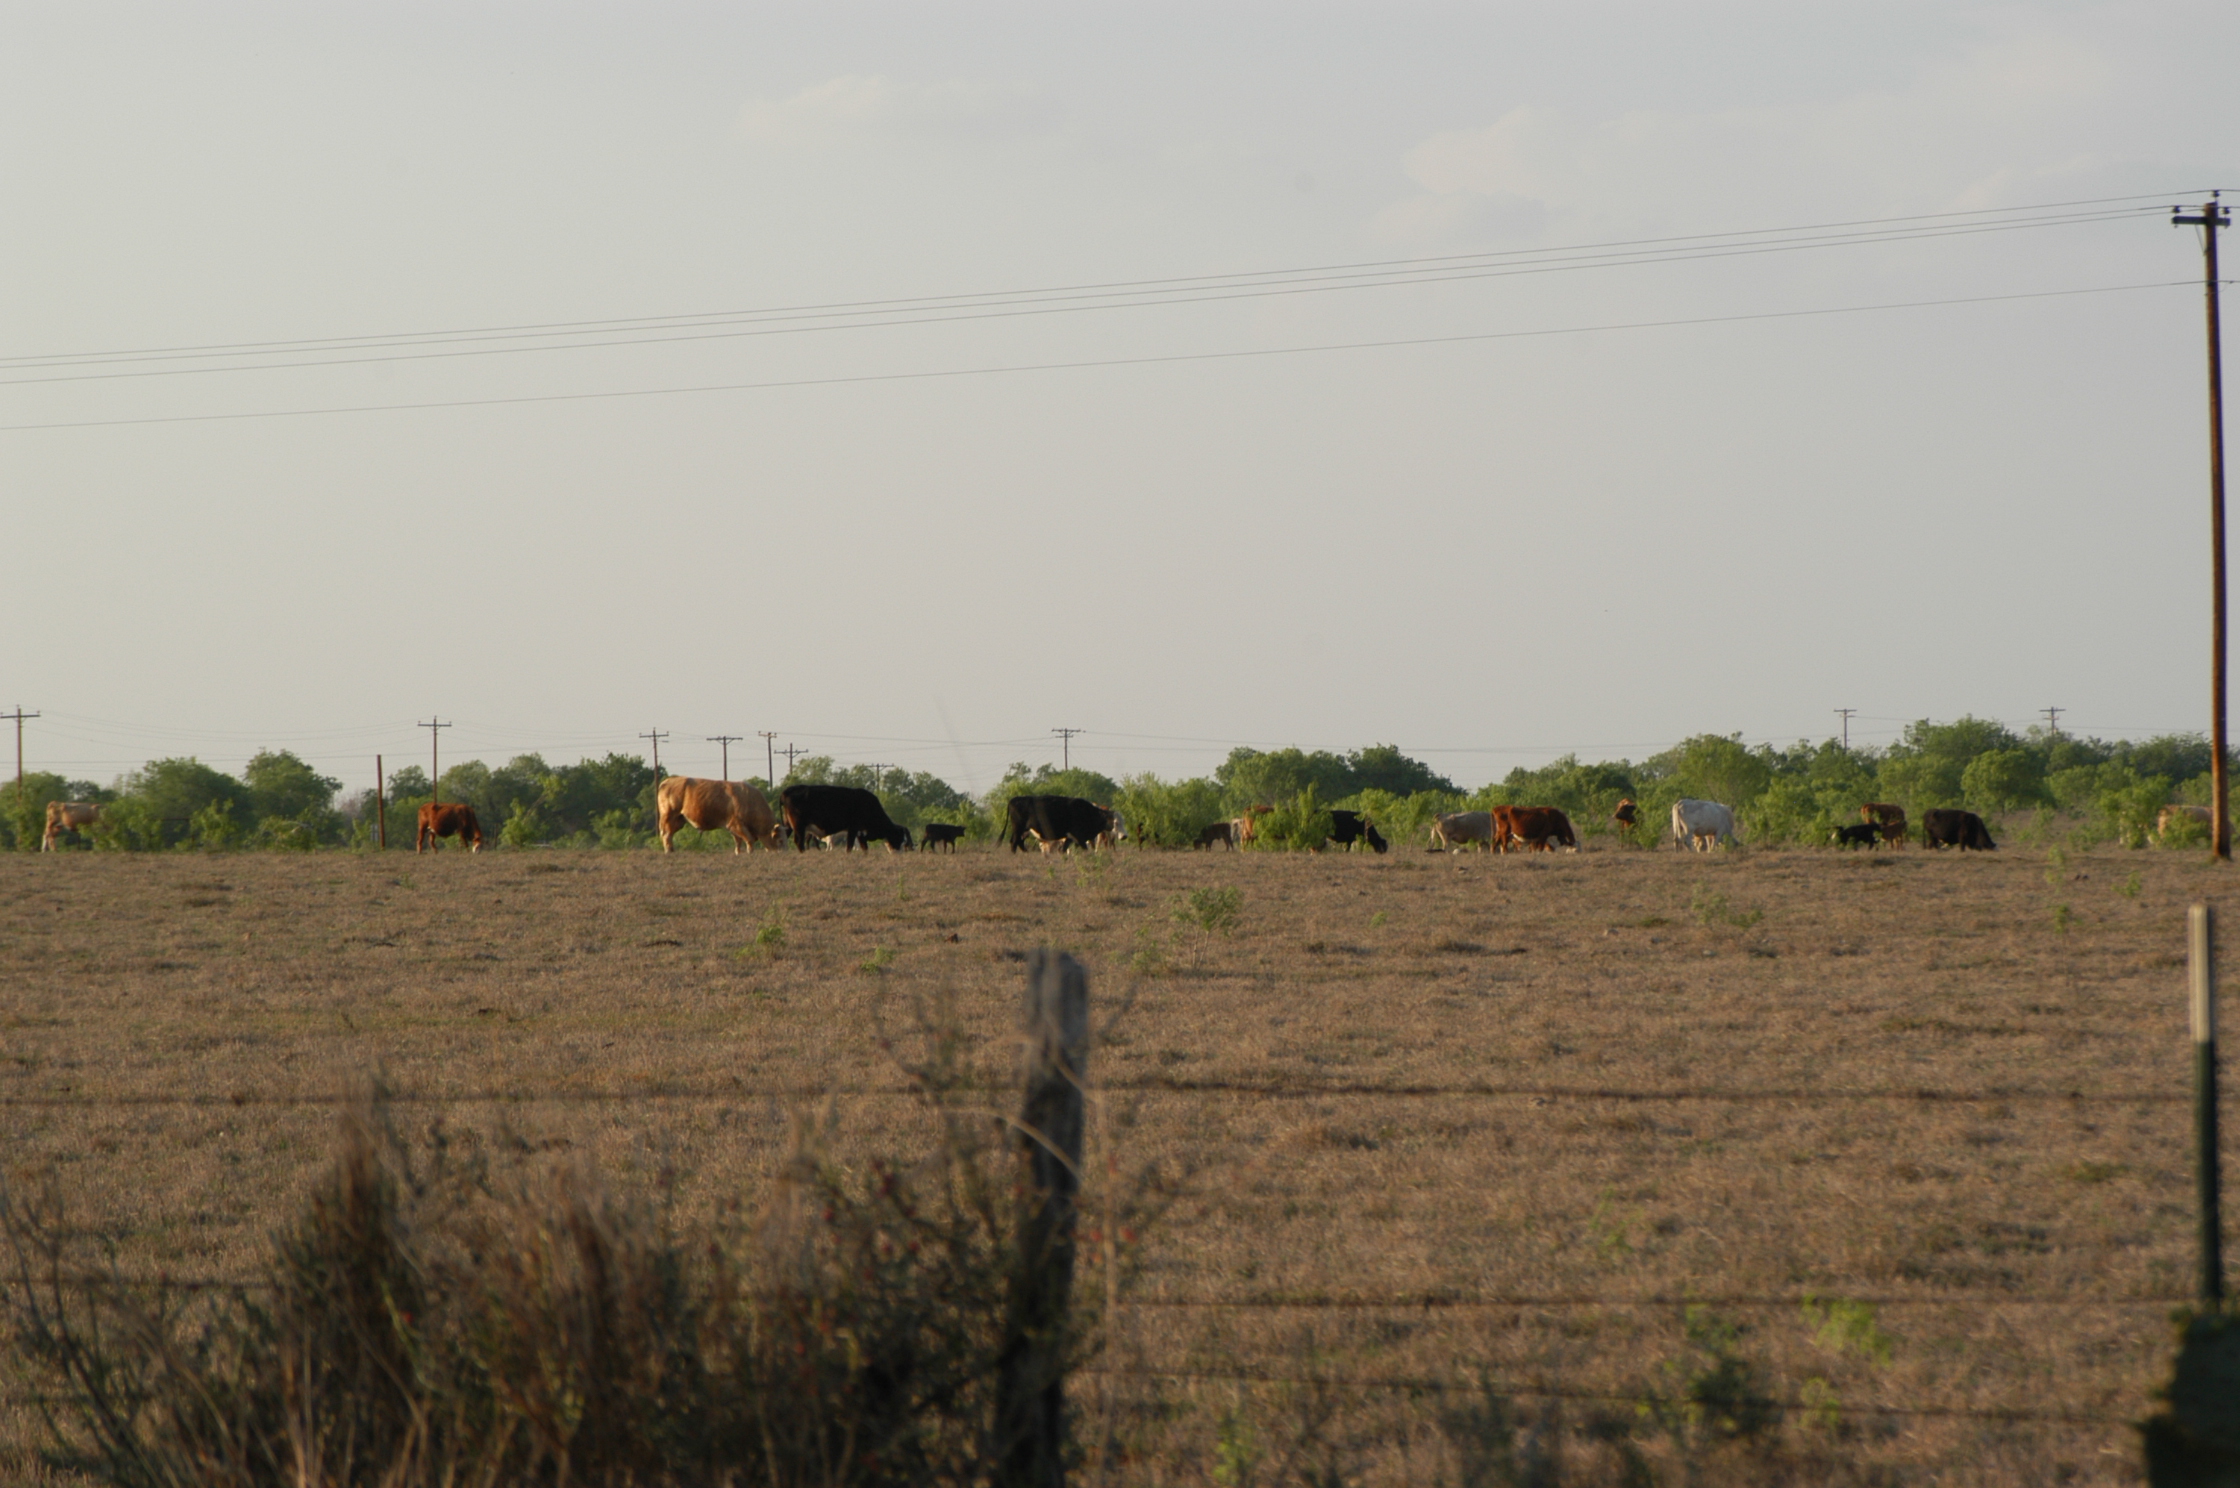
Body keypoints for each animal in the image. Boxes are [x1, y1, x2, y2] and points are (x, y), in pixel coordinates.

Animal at [779, 784, 909, 852]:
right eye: (900, 839)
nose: (899, 854)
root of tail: (788, 790)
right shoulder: (853, 829)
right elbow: (849, 846)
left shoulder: (860, 833)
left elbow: (864, 848)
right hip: (799, 825)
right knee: (799, 841)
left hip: (788, 825)